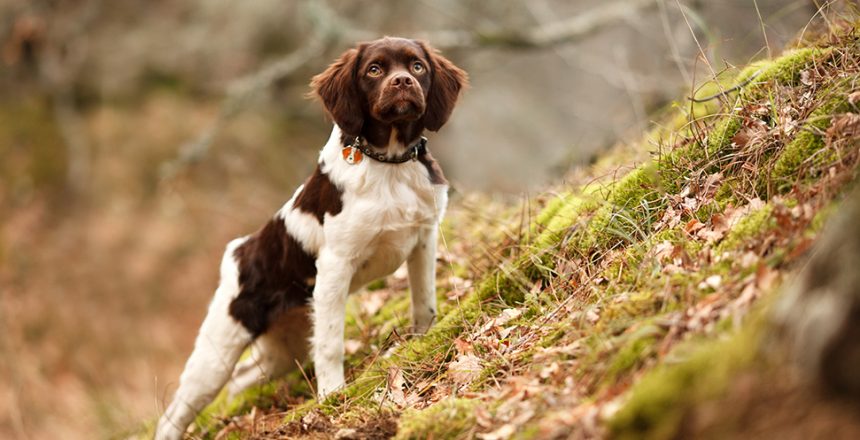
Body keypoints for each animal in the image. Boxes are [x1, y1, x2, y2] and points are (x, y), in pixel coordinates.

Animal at [154, 38, 464, 440]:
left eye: (417, 67)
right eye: (374, 70)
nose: (402, 82)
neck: (388, 163)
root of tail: (239, 252)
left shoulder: (424, 237)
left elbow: (425, 302)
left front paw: (423, 339)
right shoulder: (335, 265)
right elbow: (331, 343)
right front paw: (333, 397)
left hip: (285, 350)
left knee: (243, 379)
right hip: (217, 353)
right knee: (175, 412)